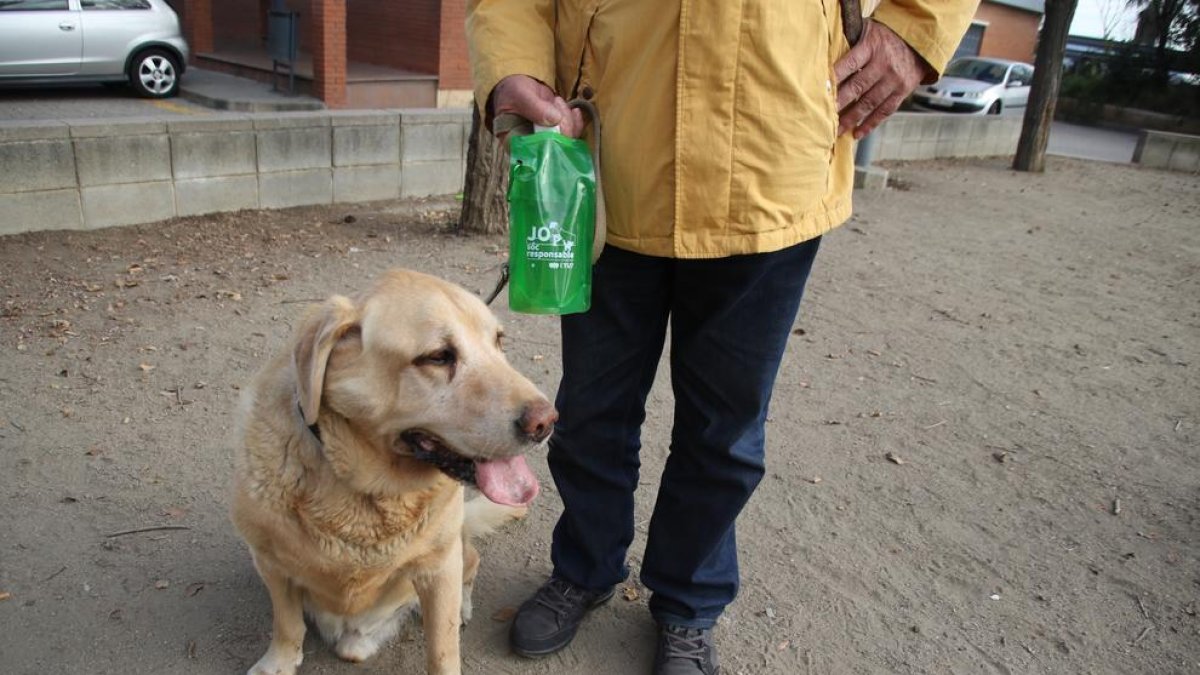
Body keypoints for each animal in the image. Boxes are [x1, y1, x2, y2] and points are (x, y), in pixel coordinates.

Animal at [231, 267, 554, 672]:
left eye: (498, 341)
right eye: (438, 356)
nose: (547, 422)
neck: (369, 491)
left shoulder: (439, 568)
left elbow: (443, 648)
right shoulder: (270, 563)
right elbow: (286, 622)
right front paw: (280, 661)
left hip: (456, 549)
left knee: (472, 563)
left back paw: (464, 604)